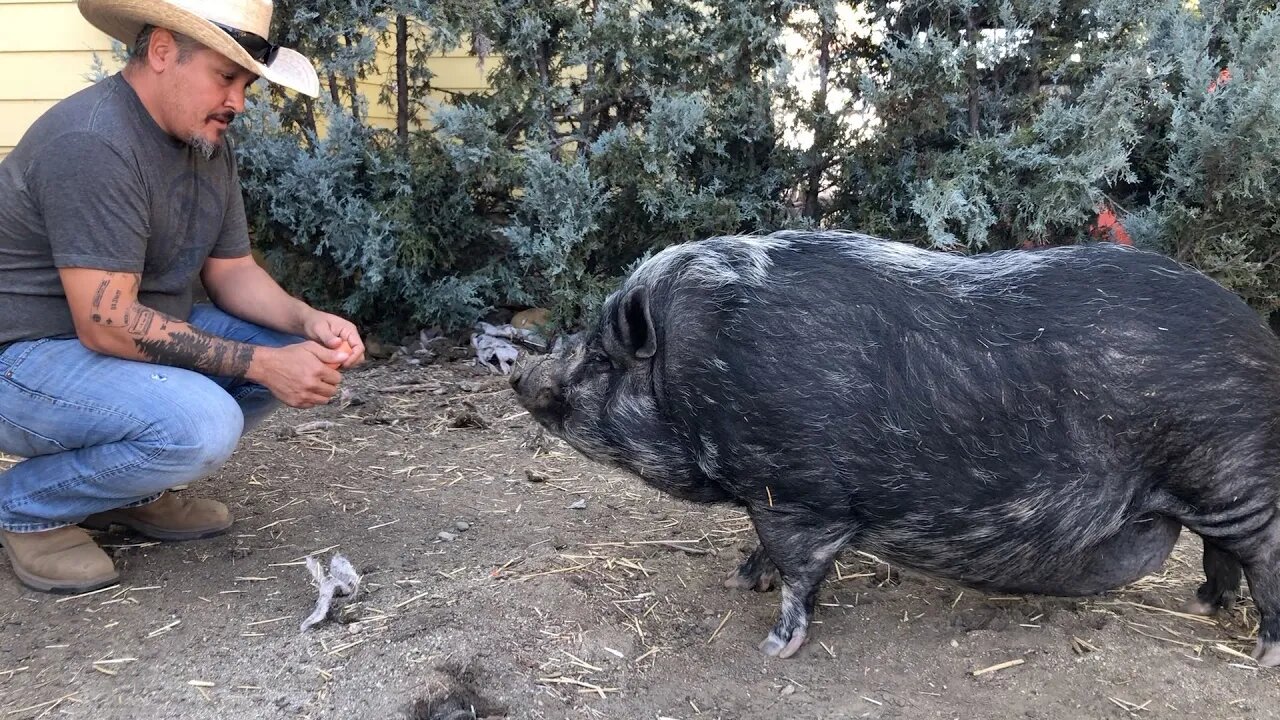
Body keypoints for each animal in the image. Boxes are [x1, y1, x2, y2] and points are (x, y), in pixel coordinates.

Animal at [509, 230, 1280, 661]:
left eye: (602, 360)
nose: (519, 374)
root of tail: (1259, 337)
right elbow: (764, 549)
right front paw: (740, 579)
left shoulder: (798, 493)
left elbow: (800, 570)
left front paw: (773, 647)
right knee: (1221, 553)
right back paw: (1206, 605)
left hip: (1229, 472)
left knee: (1261, 551)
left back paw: (1261, 651)